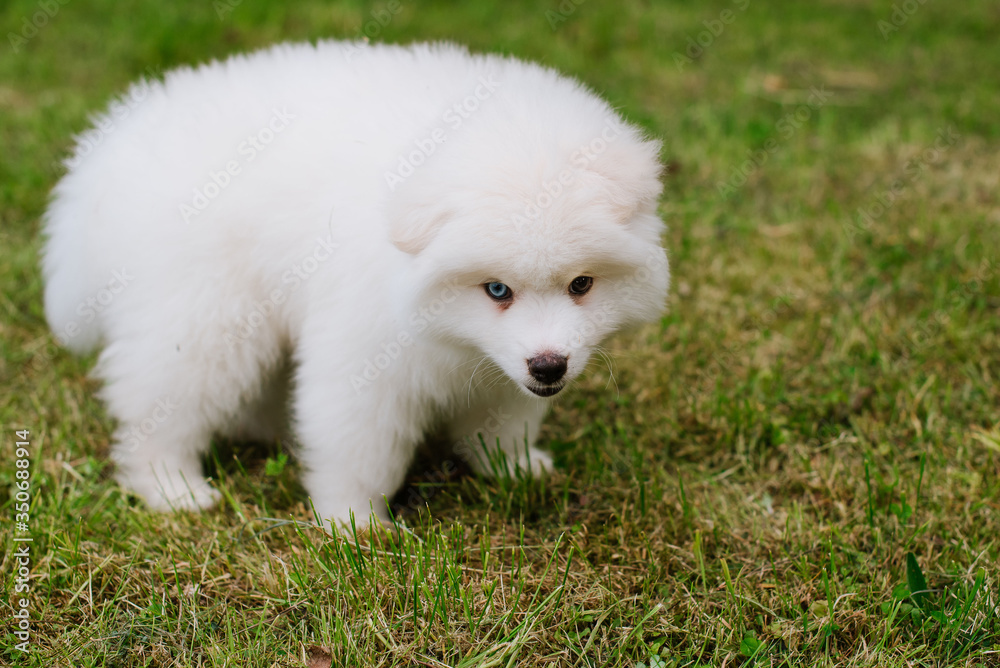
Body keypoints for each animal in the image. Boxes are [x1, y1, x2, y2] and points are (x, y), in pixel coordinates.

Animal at [39, 40, 668, 528]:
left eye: (582, 283)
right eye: (496, 289)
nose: (549, 367)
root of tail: (105, 159)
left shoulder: (504, 367)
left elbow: (503, 416)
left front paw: (513, 468)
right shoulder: (366, 357)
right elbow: (360, 447)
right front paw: (355, 527)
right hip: (204, 313)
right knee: (161, 403)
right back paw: (174, 489)